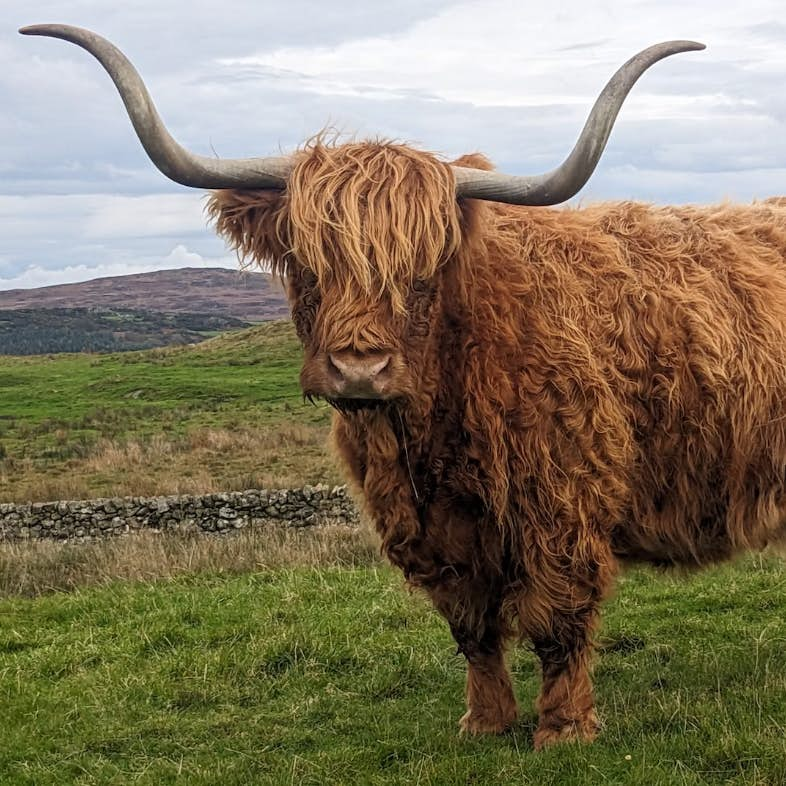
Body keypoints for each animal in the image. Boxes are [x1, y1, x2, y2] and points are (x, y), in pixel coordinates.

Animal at [19, 24, 784, 748]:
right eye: (307, 263)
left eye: (423, 270)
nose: (360, 369)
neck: (430, 429)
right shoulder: (428, 527)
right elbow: (472, 630)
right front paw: (486, 722)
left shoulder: (560, 503)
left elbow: (558, 623)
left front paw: (563, 730)